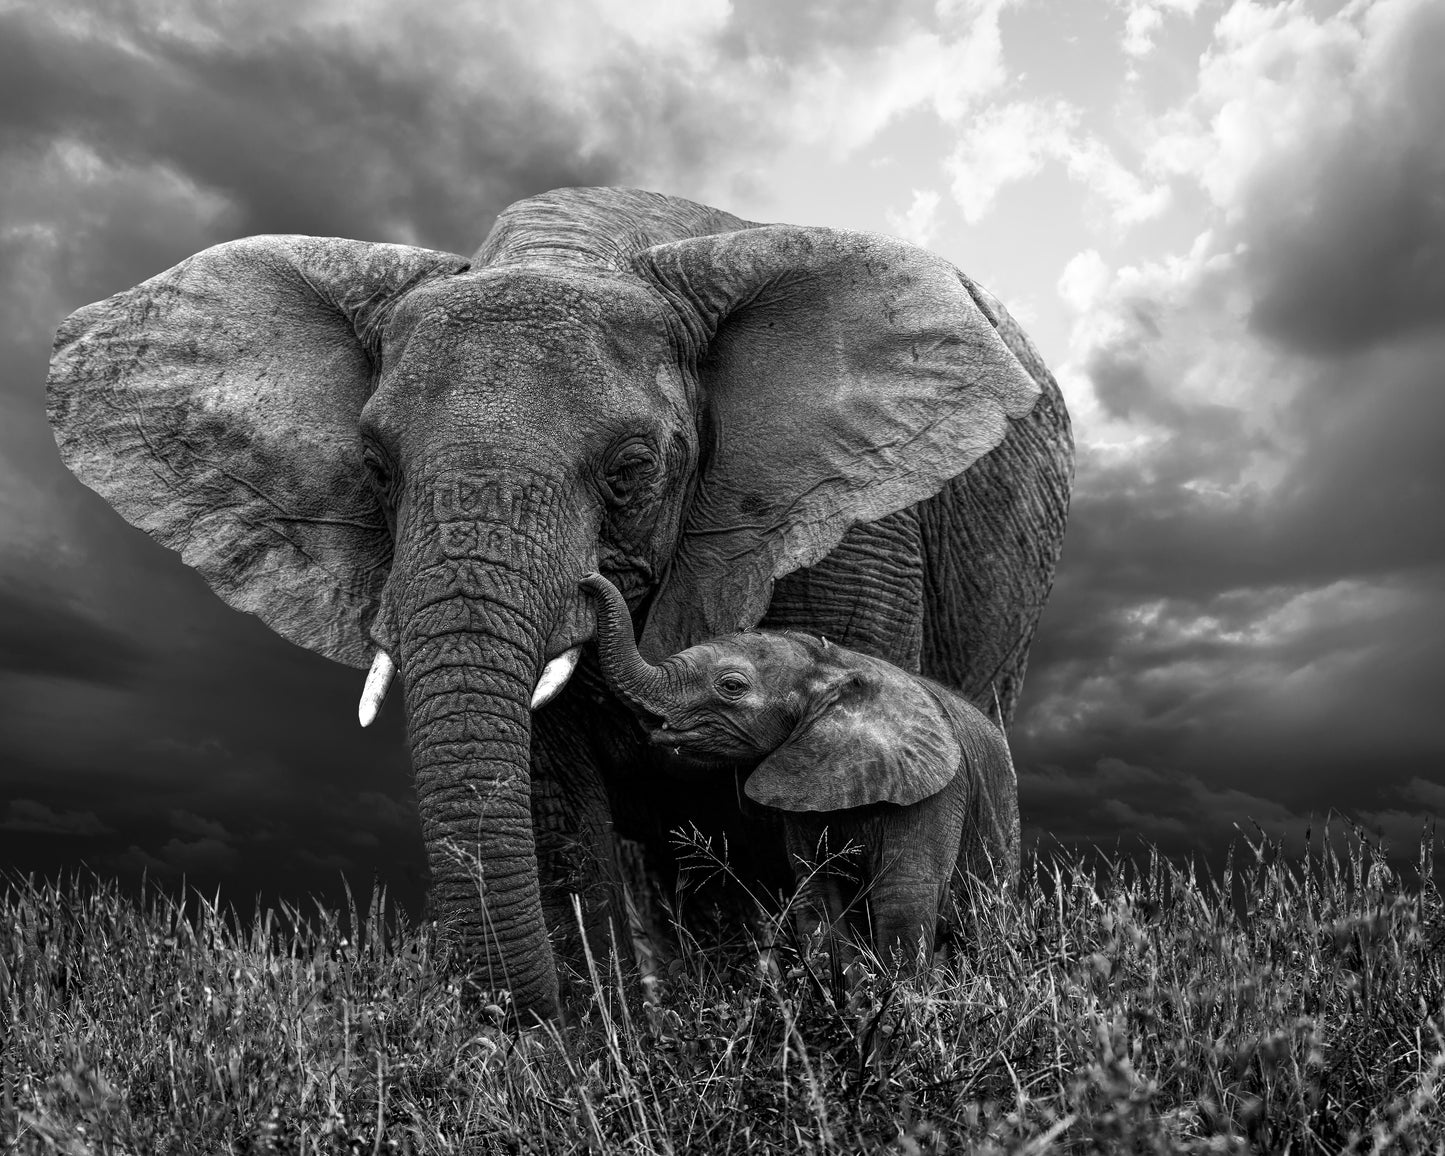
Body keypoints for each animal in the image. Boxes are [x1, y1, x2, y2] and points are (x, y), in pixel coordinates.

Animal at [581, 572, 1018, 969]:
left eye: (732, 686)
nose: (587, 579)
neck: (833, 666)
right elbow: (818, 900)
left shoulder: (935, 794)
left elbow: (904, 901)